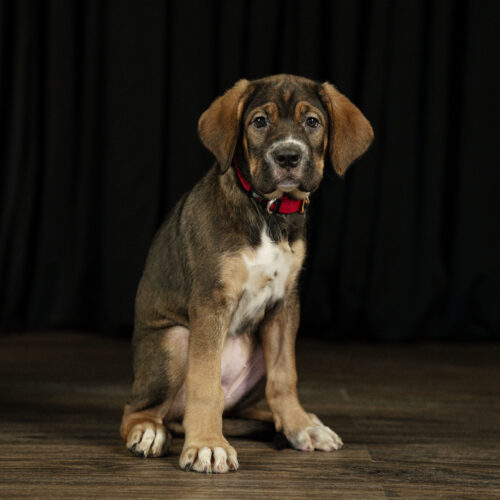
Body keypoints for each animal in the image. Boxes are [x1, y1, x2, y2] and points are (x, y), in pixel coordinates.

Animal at [119, 73, 374, 472]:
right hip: (173, 341)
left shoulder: (285, 303)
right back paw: (150, 432)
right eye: (259, 122)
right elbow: (205, 382)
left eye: (312, 122)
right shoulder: (211, 301)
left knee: (243, 409)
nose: (288, 156)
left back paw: (300, 422)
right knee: (138, 409)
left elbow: (285, 376)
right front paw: (208, 445)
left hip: (255, 351)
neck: (268, 210)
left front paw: (300, 425)